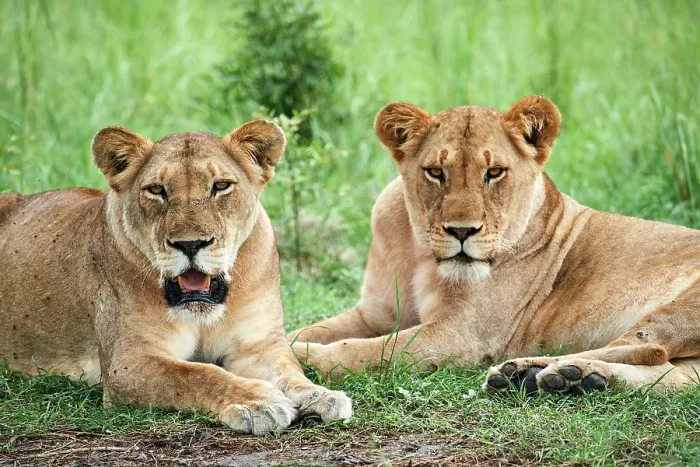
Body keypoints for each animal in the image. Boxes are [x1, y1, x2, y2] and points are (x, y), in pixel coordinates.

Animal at [0, 120, 351, 433]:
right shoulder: (126, 363)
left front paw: (321, 396)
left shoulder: (258, 345)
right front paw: (259, 402)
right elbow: (197, 375)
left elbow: (290, 371)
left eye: (220, 186)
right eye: (157, 190)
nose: (190, 244)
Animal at [289, 96, 700, 395]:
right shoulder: (375, 314)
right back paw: (569, 378)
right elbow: (306, 330)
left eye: (494, 172)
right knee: (673, 376)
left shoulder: (462, 335)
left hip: (681, 308)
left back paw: (529, 370)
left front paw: (305, 359)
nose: (461, 231)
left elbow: (372, 350)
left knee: (649, 347)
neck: (420, 254)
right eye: (436, 173)